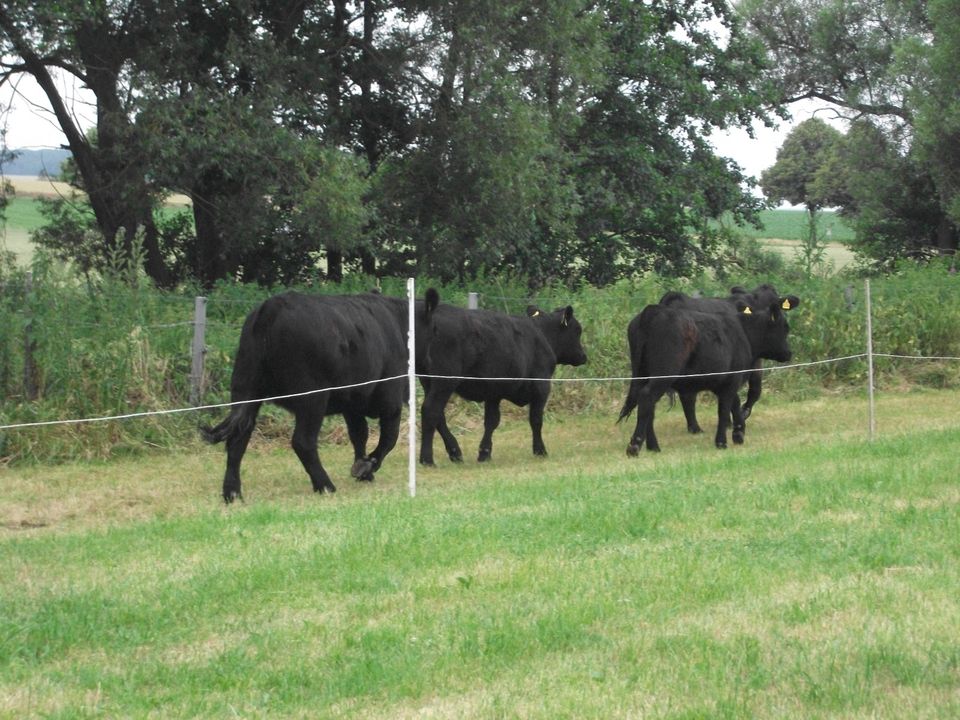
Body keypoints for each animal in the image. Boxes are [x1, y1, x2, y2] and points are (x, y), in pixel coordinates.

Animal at [206, 290, 442, 504]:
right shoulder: (390, 398)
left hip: (245, 390)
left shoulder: (352, 402)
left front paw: (363, 469)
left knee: (238, 438)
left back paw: (232, 493)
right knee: (303, 442)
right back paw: (325, 485)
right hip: (312, 398)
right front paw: (366, 466)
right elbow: (389, 438)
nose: (431, 362)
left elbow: (359, 434)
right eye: (433, 330)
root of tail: (272, 306)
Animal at [418, 300, 584, 464]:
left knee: (438, 415)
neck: (542, 334)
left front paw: (484, 453)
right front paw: (540, 451)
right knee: (431, 410)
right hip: (444, 381)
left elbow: (491, 421)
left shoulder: (494, 392)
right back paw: (427, 459)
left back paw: (455, 452)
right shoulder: (541, 387)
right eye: (577, 330)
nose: (584, 356)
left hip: (428, 381)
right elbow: (536, 420)